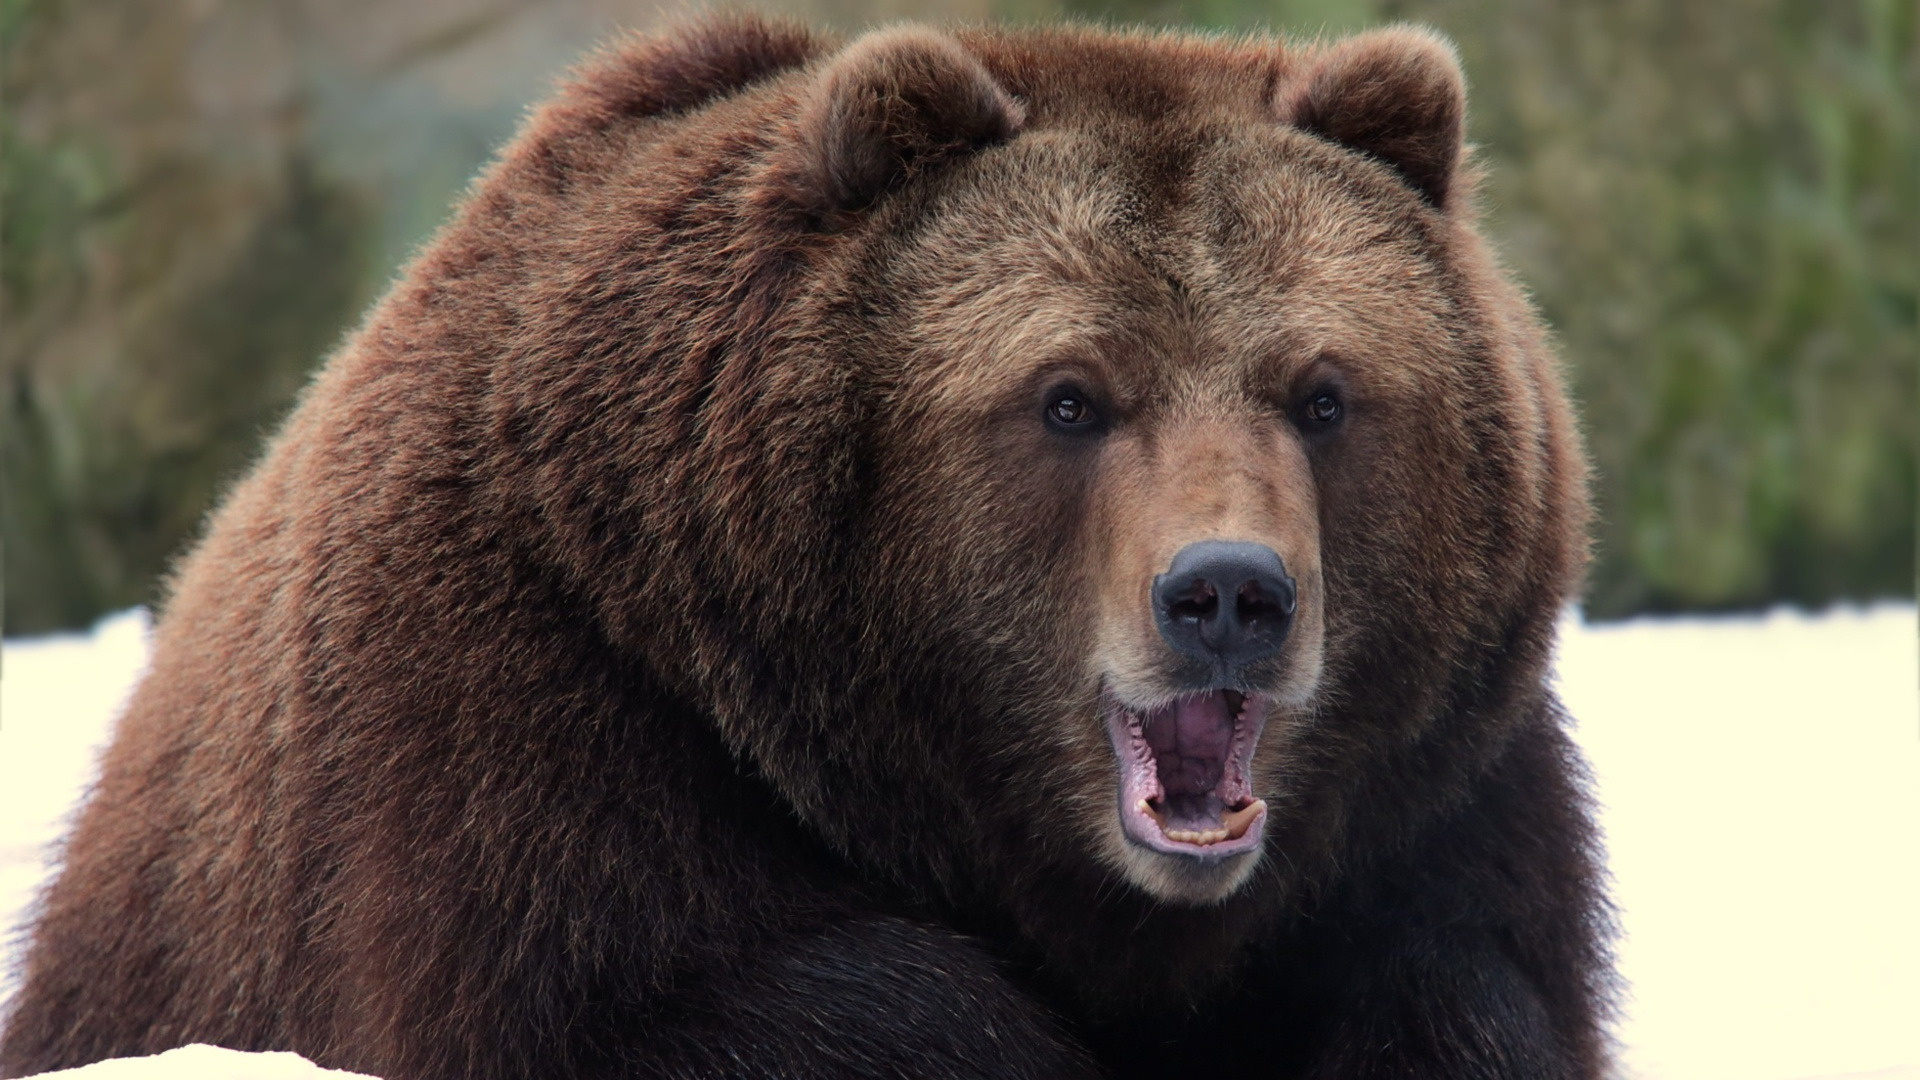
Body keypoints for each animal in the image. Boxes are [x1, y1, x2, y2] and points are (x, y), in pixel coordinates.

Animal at [0, 16, 1612, 1076]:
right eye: (1070, 395)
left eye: (1323, 391)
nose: (1228, 593)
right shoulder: (537, 716)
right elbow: (743, 1010)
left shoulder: (1432, 810)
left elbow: (1459, 998)